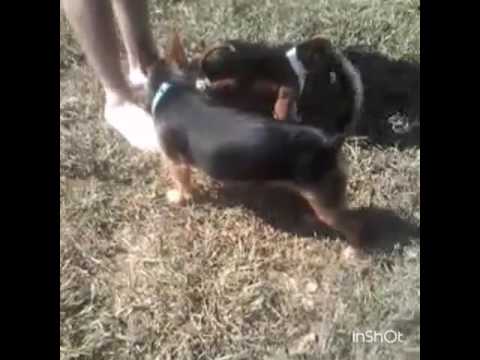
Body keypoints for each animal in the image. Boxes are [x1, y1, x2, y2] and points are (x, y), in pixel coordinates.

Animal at [148, 33, 362, 250]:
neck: (171, 87)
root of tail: (331, 141)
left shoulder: (176, 162)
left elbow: (182, 183)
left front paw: (177, 198)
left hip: (325, 200)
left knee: (353, 225)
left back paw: (352, 251)